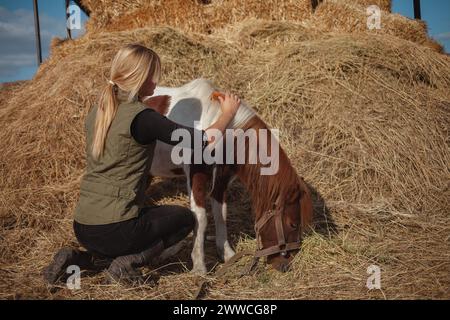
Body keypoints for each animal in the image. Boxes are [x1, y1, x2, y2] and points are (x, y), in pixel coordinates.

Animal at [145, 79, 312, 274]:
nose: (284, 265)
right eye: (293, 224)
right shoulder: (196, 175)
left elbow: (221, 215)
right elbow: (200, 217)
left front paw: (228, 255)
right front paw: (199, 266)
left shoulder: (221, 180)